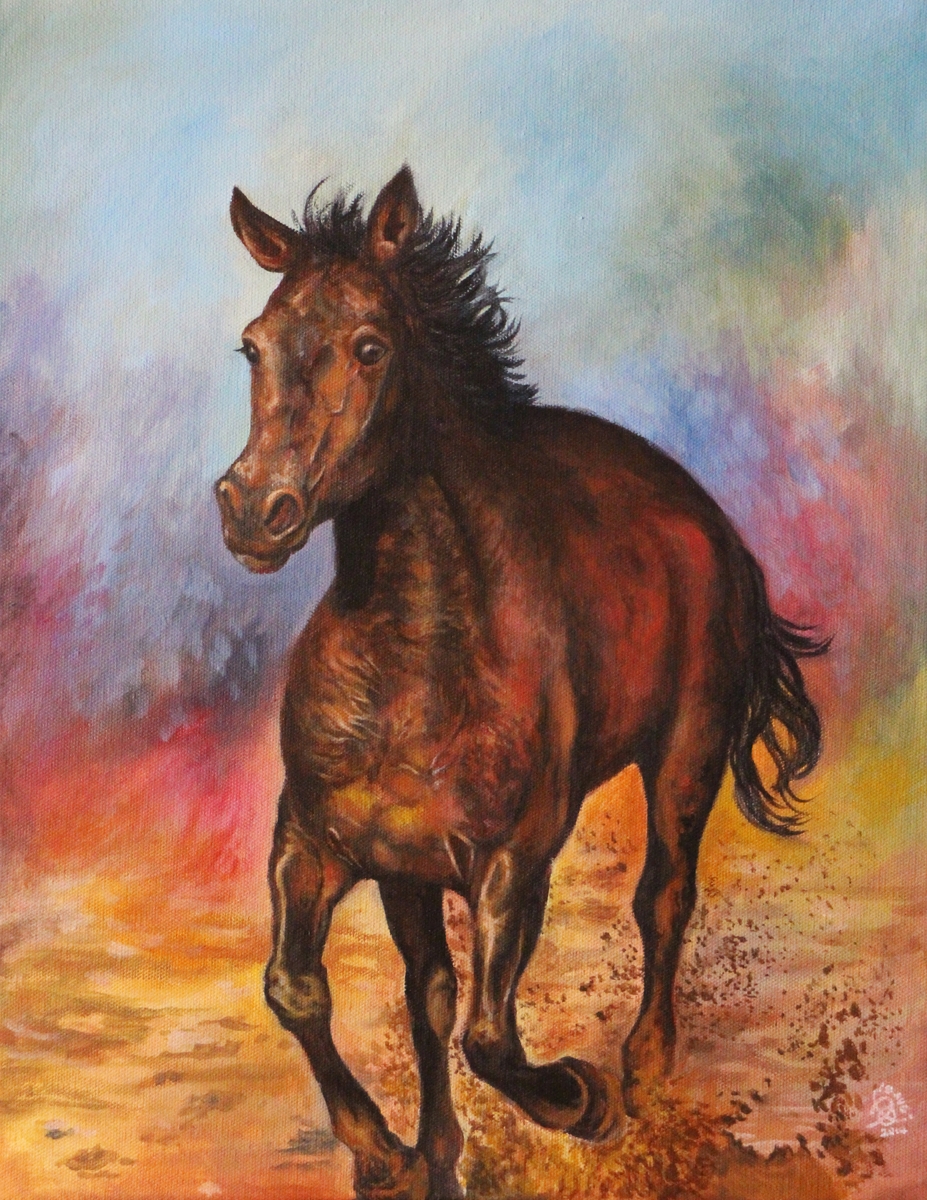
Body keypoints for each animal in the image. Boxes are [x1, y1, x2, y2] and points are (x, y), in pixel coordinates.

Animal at [215, 166, 827, 1200]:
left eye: (369, 347)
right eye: (252, 346)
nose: (255, 509)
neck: (412, 666)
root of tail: (703, 517)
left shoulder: (513, 860)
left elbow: (491, 1038)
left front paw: (583, 1101)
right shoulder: (324, 845)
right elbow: (306, 991)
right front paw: (389, 1154)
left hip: (686, 754)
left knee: (664, 895)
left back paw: (643, 1069)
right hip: (409, 874)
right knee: (429, 993)